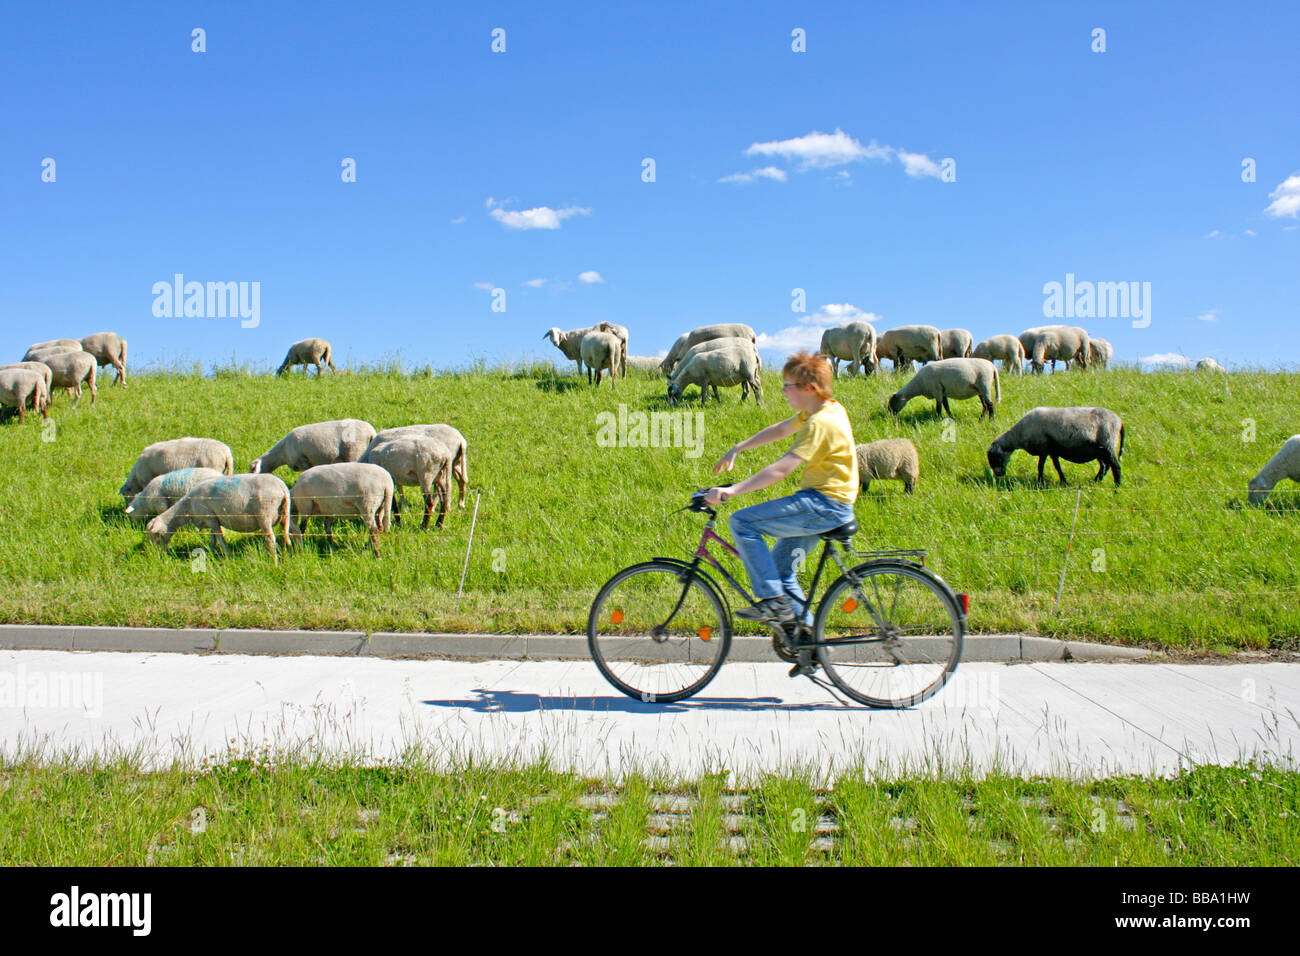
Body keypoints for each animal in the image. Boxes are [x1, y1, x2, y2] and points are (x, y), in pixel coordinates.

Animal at [147, 473, 292, 561]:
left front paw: (228, 556)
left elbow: (220, 540)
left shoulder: (210, 518)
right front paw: (210, 553)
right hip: (284, 513)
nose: (155, 554)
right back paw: (287, 552)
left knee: (270, 539)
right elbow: (213, 540)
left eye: (156, 535)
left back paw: (273, 560)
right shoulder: (212, 520)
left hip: (264, 514)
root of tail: (282, 487)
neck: (187, 508)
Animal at [977, 408, 1123, 489]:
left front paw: (1040, 483)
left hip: (1108, 444)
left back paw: (1117, 487)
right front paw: (1063, 482)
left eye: (994, 458)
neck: (1018, 435)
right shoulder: (1052, 451)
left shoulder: (1044, 448)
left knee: (1115, 467)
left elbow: (1040, 466)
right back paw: (1095, 481)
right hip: (1100, 449)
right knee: (1105, 466)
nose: (999, 475)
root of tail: (1120, 422)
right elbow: (1057, 467)